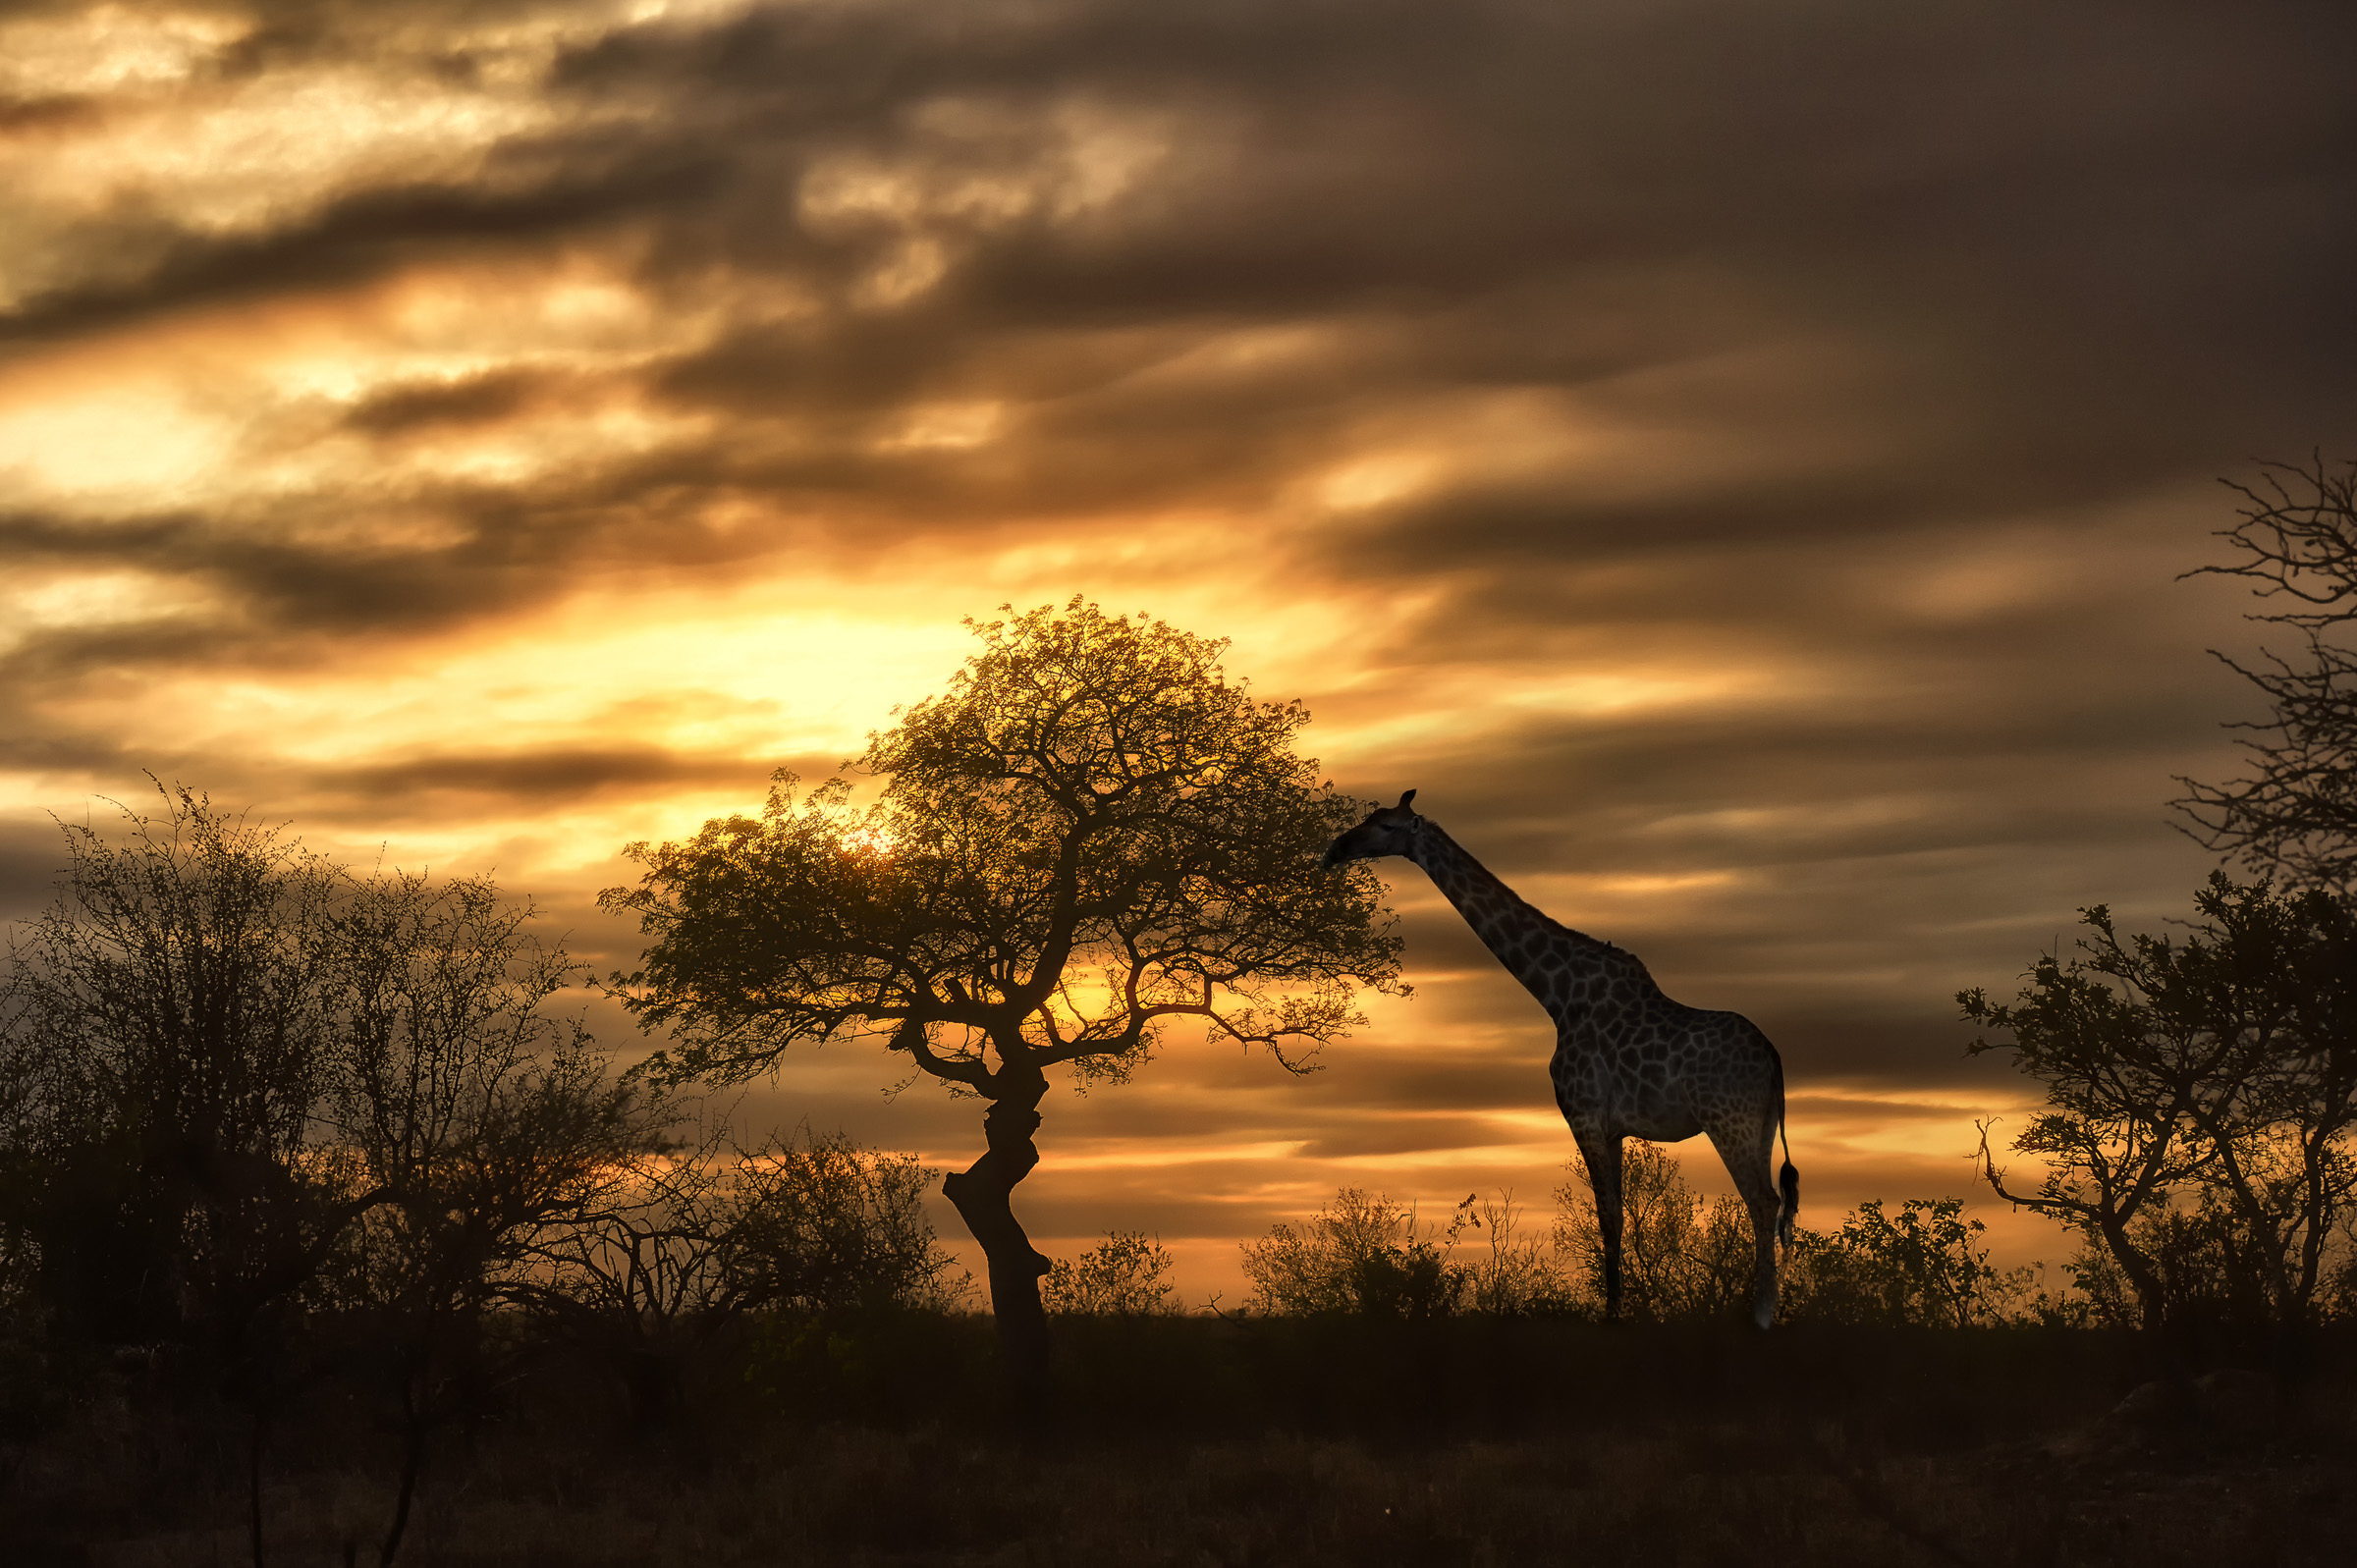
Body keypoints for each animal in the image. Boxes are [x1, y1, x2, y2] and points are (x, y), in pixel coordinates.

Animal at [1320, 796, 1791, 1320]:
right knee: (1774, 1204)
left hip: (1728, 1121)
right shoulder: (1613, 1127)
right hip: (1760, 1126)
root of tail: (1773, 1058)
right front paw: (1619, 1308)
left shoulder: (1582, 1113)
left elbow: (1607, 1216)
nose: (1336, 848)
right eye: (1367, 818)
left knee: (1762, 1202)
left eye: (1385, 826)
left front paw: (1613, 1315)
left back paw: (1762, 1316)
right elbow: (1617, 1213)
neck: (1558, 995)